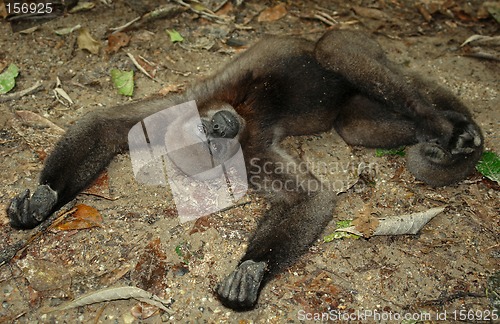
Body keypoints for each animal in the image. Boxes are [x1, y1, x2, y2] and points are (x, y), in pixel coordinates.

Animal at [5, 31, 482, 312]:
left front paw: (42, 195)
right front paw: (44, 201)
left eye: (207, 131)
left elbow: (103, 124)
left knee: (336, 49)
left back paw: (449, 127)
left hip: (367, 50)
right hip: (359, 114)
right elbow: (309, 197)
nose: (221, 126)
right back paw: (444, 131)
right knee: (356, 124)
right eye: (210, 147)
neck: (240, 117)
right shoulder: (250, 157)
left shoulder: (180, 105)